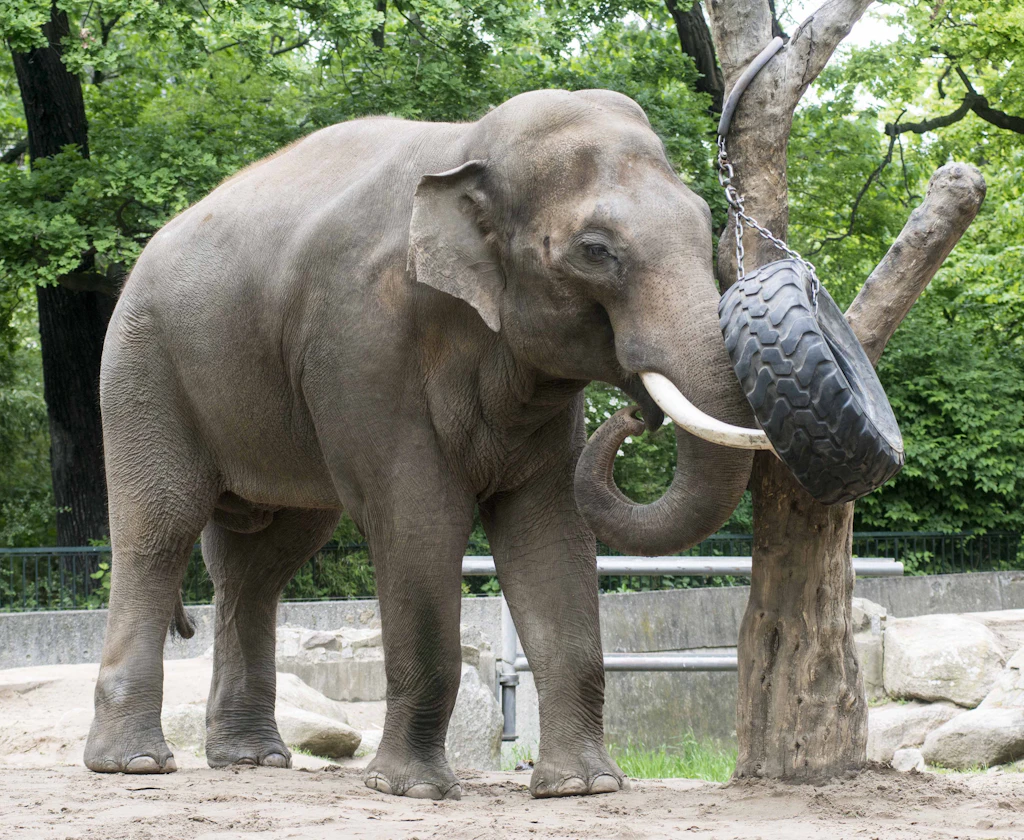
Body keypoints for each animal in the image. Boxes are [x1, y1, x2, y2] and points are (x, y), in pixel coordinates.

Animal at [84, 88, 768, 799]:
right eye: (595, 250)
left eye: (706, 221)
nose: (635, 415)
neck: (466, 146)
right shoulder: (364, 341)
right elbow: (419, 517)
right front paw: (410, 790)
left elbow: (548, 525)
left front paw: (583, 787)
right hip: (142, 369)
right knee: (159, 528)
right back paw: (134, 764)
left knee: (263, 560)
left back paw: (252, 760)